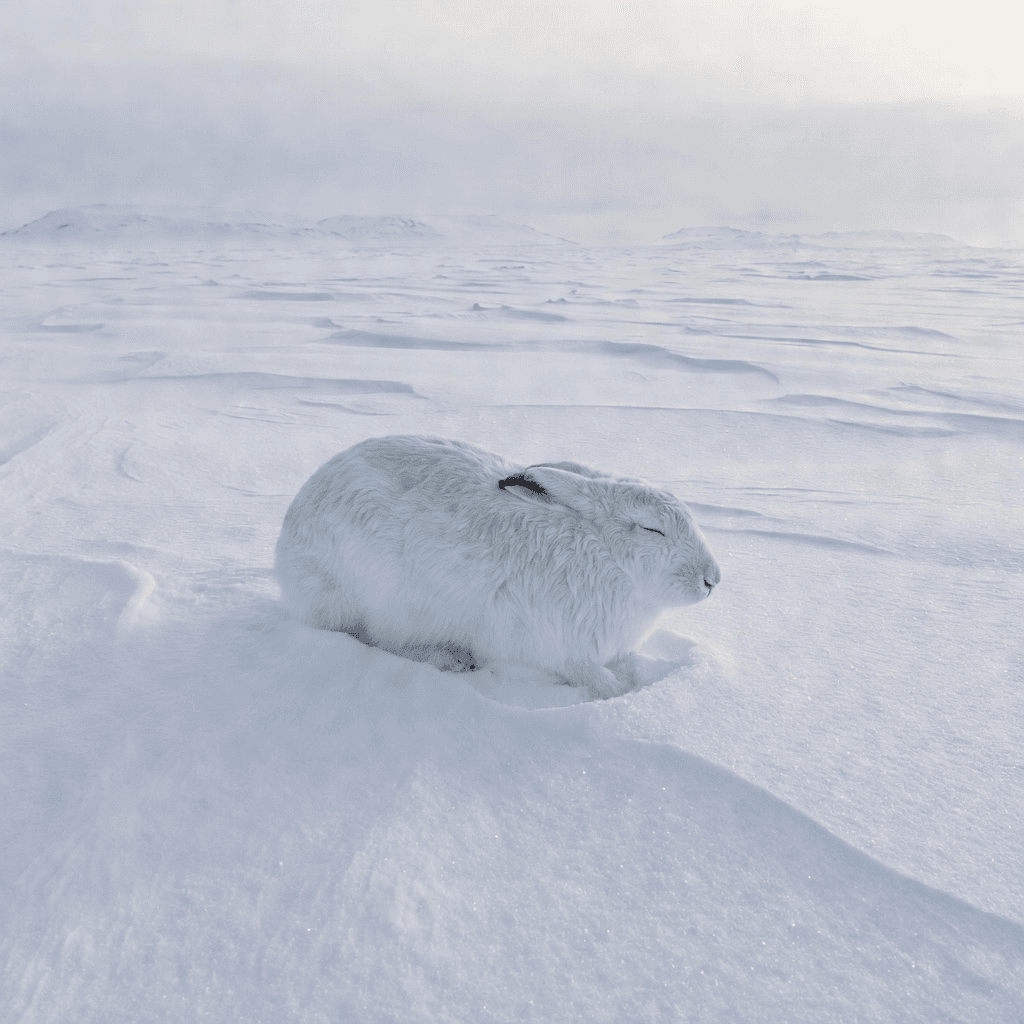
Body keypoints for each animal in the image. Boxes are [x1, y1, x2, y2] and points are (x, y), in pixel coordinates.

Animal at [275, 435, 721, 699]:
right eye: (651, 529)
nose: (712, 580)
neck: (604, 556)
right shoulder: (556, 647)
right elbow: (590, 675)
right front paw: (617, 691)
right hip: (372, 601)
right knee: (376, 639)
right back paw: (450, 659)